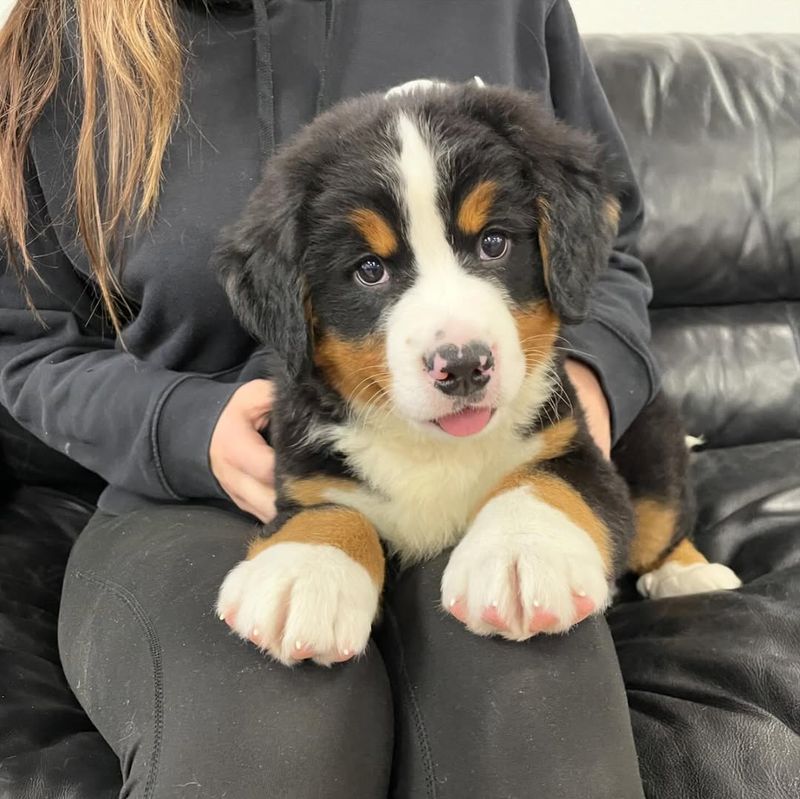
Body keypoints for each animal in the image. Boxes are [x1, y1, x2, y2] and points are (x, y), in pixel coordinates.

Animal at [211, 81, 736, 668]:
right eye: (370, 270)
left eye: (493, 243)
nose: (462, 365)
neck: (434, 450)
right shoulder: (306, 472)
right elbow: (329, 509)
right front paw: (304, 572)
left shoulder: (571, 442)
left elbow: (542, 480)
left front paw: (519, 554)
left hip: (653, 447)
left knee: (663, 520)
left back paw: (692, 575)